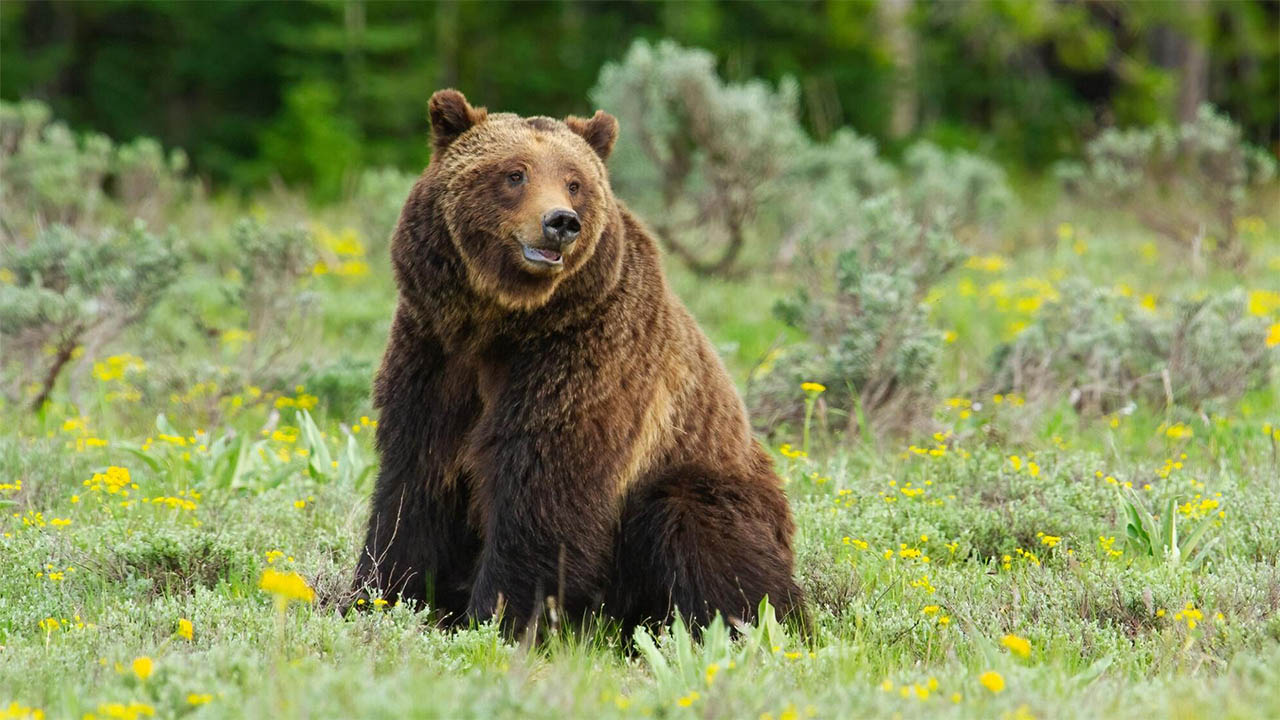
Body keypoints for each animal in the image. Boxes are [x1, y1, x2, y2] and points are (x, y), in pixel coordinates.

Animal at [353, 89, 798, 632]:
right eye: (514, 173)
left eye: (575, 182)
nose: (560, 222)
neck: (502, 322)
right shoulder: (434, 353)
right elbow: (414, 485)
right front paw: (377, 594)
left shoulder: (582, 360)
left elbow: (545, 490)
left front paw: (497, 617)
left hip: (709, 481)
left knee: (702, 533)